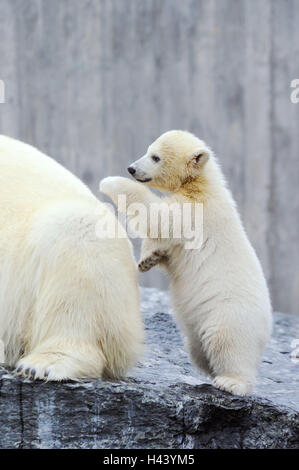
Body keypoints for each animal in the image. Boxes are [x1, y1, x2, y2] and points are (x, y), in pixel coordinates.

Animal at [101, 129, 274, 396]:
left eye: (155, 157)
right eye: (148, 151)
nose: (131, 168)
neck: (202, 184)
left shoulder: (195, 212)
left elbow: (158, 217)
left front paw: (110, 183)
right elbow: (164, 242)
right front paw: (147, 260)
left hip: (230, 314)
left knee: (227, 343)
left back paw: (231, 382)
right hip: (197, 330)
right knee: (198, 350)